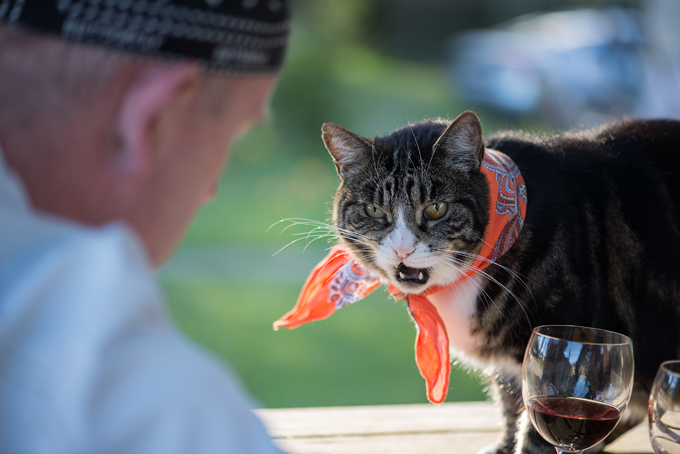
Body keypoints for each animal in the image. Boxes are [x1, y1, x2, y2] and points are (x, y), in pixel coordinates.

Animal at [322, 111, 680, 454]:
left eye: (436, 208)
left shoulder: (570, 357)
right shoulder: (511, 365)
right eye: (374, 210)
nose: (402, 248)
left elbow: (539, 434)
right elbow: (511, 406)